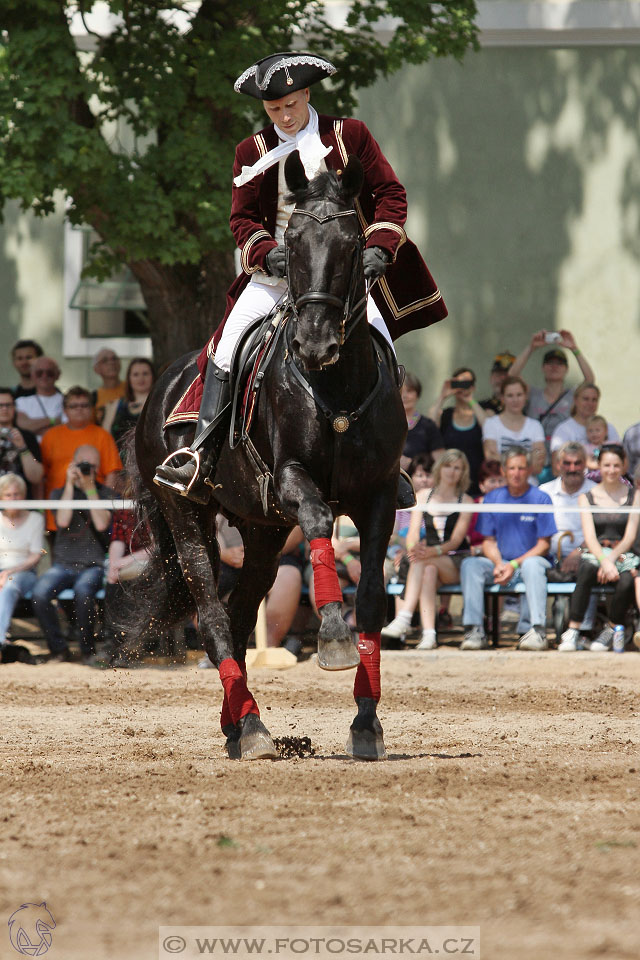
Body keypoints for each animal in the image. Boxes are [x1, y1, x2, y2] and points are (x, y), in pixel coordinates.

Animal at [132, 154, 408, 760]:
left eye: (352, 244)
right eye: (293, 242)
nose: (314, 343)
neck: (336, 384)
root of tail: (162, 386)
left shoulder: (378, 495)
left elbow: (372, 599)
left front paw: (366, 723)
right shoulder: (291, 480)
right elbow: (321, 519)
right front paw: (333, 636)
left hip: (260, 533)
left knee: (238, 620)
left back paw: (239, 724)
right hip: (188, 518)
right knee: (213, 618)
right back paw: (253, 728)